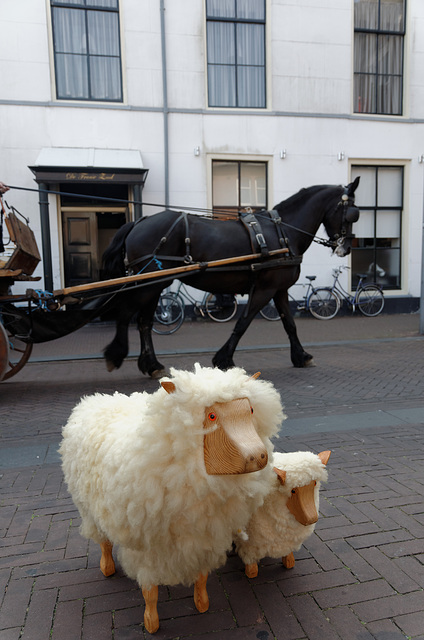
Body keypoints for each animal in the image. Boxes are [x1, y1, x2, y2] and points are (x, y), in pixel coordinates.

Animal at [101, 178, 360, 378]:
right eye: (352, 213)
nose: (346, 248)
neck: (284, 233)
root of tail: (139, 221)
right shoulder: (265, 289)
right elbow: (243, 322)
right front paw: (223, 359)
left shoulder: (279, 289)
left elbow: (290, 324)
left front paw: (301, 356)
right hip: (150, 282)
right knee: (127, 314)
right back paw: (117, 354)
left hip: (155, 284)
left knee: (144, 322)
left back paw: (152, 365)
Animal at [235, 448, 332, 576]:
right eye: (293, 491)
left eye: (315, 483)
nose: (312, 518)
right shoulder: (250, 543)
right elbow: (250, 559)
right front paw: (251, 572)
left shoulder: (285, 540)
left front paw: (289, 561)